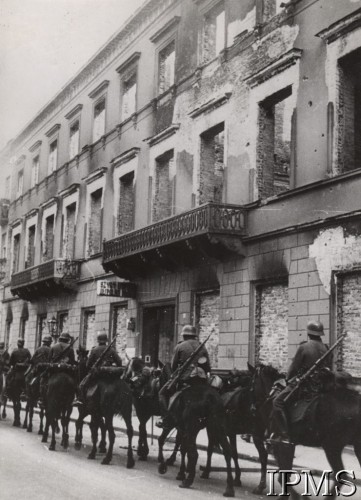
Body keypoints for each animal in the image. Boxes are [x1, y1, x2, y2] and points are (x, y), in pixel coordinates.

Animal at [249, 364, 360, 500]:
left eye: (252, 383)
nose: (252, 409)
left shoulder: (279, 444)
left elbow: (283, 474)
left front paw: (295, 496)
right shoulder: (287, 446)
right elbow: (285, 472)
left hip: (332, 446)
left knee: (341, 475)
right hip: (355, 447)